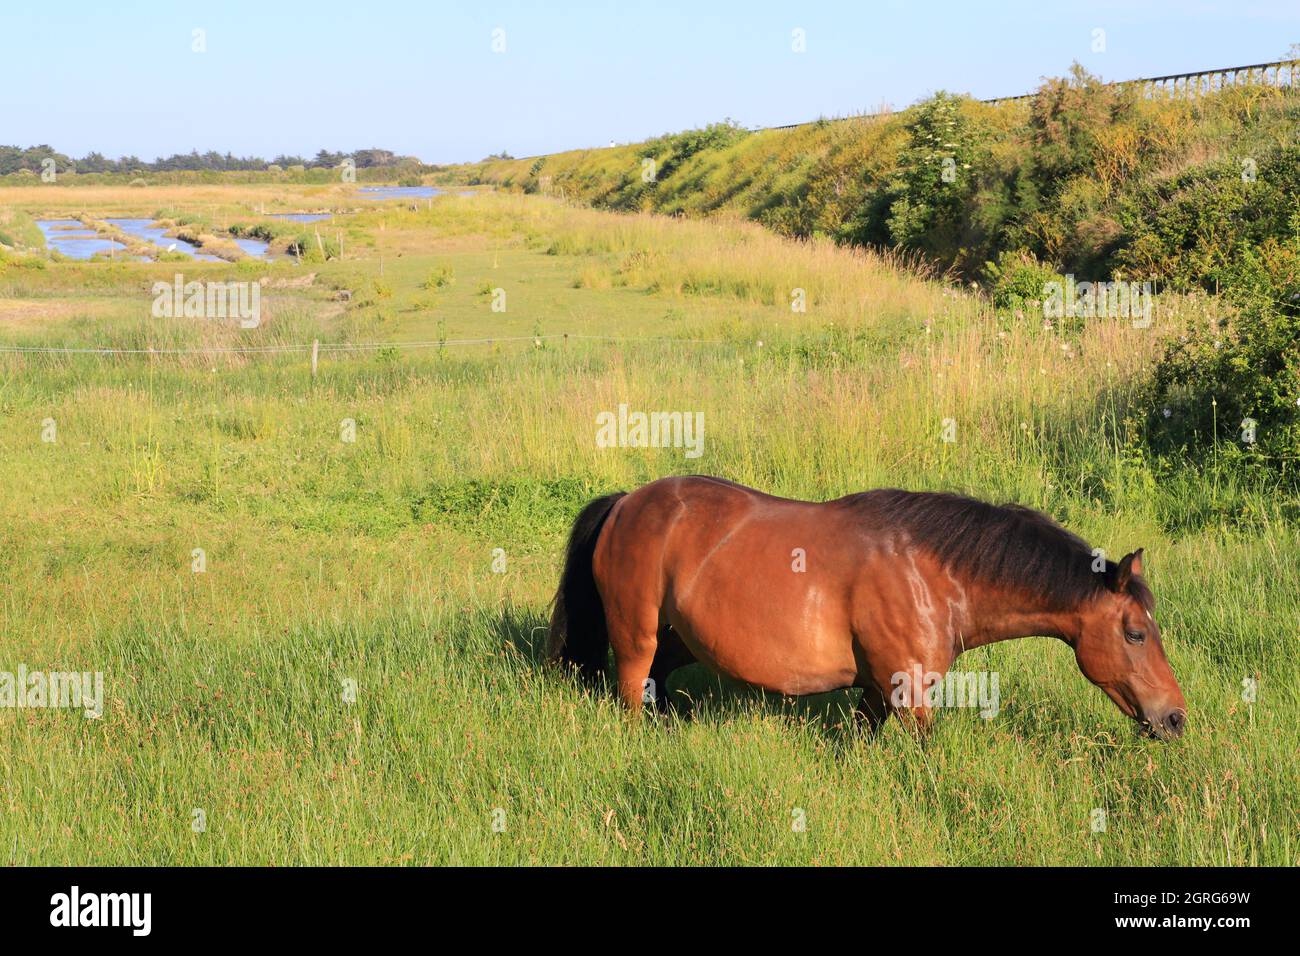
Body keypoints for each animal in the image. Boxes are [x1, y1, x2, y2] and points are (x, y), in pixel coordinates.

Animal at [548, 476, 1190, 738]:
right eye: (1135, 633)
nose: (1176, 718)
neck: (935, 575)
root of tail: (626, 502)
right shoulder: (909, 694)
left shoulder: (877, 691)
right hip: (636, 640)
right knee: (633, 692)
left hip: (676, 640)